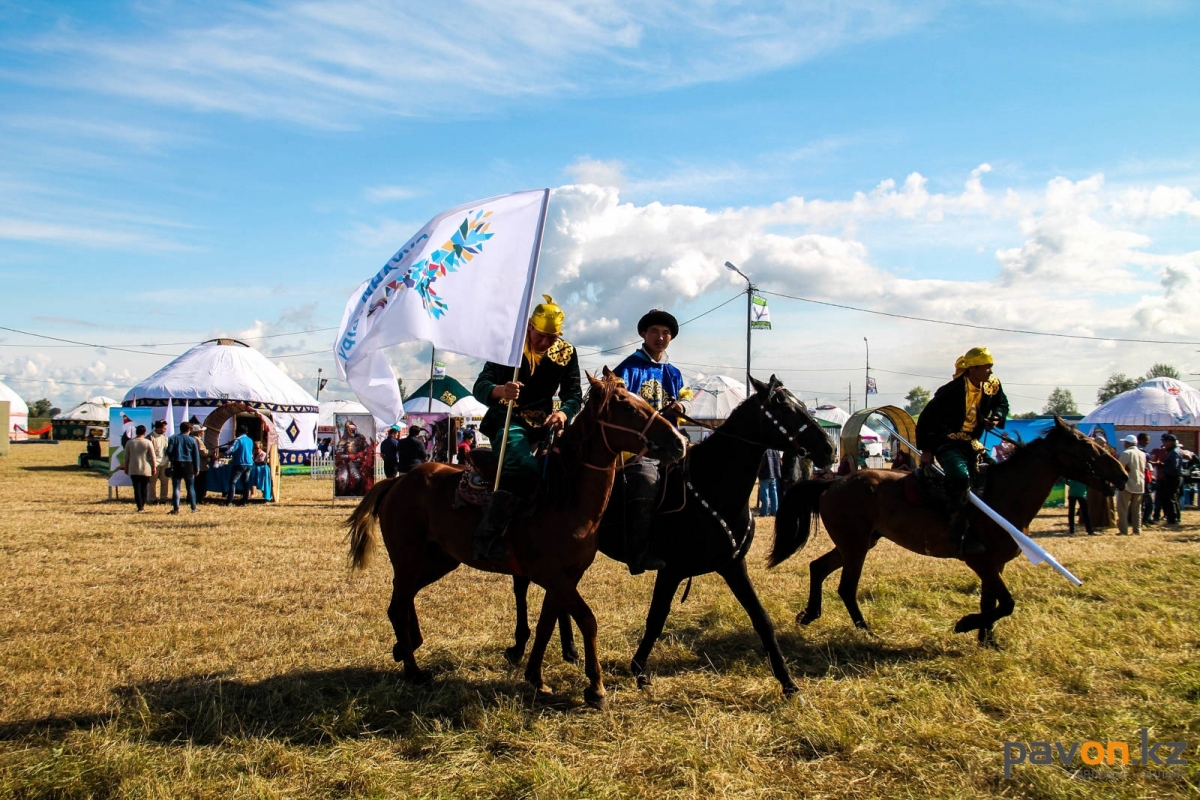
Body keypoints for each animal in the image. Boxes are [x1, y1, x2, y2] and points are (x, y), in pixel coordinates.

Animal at [348, 371, 686, 710]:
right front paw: (595, 688)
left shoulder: (567, 576)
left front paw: (536, 676)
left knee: (404, 601)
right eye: (627, 407)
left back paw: (406, 647)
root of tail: (397, 482)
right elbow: (587, 619)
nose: (679, 442)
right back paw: (413, 670)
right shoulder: (550, 574)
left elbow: (547, 622)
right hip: (409, 559)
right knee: (398, 606)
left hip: (438, 560)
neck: (562, 494)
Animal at [768, 419, 1123, 642]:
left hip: (859, 543)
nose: (1121, 474)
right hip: (855, 547)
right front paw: (965, 626)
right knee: (845, 588)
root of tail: (831, 483)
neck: (1002, 496)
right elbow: (1006, 603)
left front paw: (987, 641)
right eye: (1086, 445)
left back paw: (810, 615)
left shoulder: (995, 565)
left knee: (818, 567)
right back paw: (866, 631)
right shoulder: (980, 561)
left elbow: (990, 602)